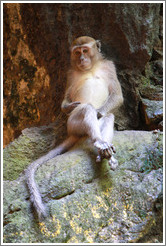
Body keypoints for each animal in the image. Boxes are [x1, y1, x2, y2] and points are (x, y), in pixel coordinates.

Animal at [26, 35, 124, 220]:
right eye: (77, 52)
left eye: (85, 50)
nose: (81, 59)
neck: (91, 68)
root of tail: (72, 133)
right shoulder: (70, 74)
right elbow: (66, 100)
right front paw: (70, 106)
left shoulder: (110, 66)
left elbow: (117, 95)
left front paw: (100, 113)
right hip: (72, 125)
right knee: (86, 109)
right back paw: (98, 141)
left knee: (108, 116)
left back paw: (104, 149)